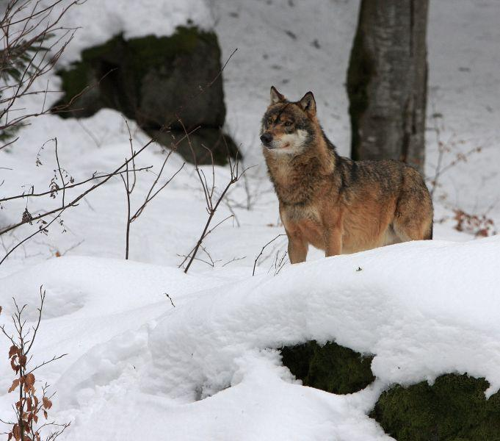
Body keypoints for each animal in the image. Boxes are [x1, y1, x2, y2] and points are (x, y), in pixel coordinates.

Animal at [262, 87, 434, 262]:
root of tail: (418, 174)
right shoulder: (295, 239)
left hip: (408, 233)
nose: (265, 137)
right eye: (270, 122)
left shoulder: (333, 235)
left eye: (288, 123)